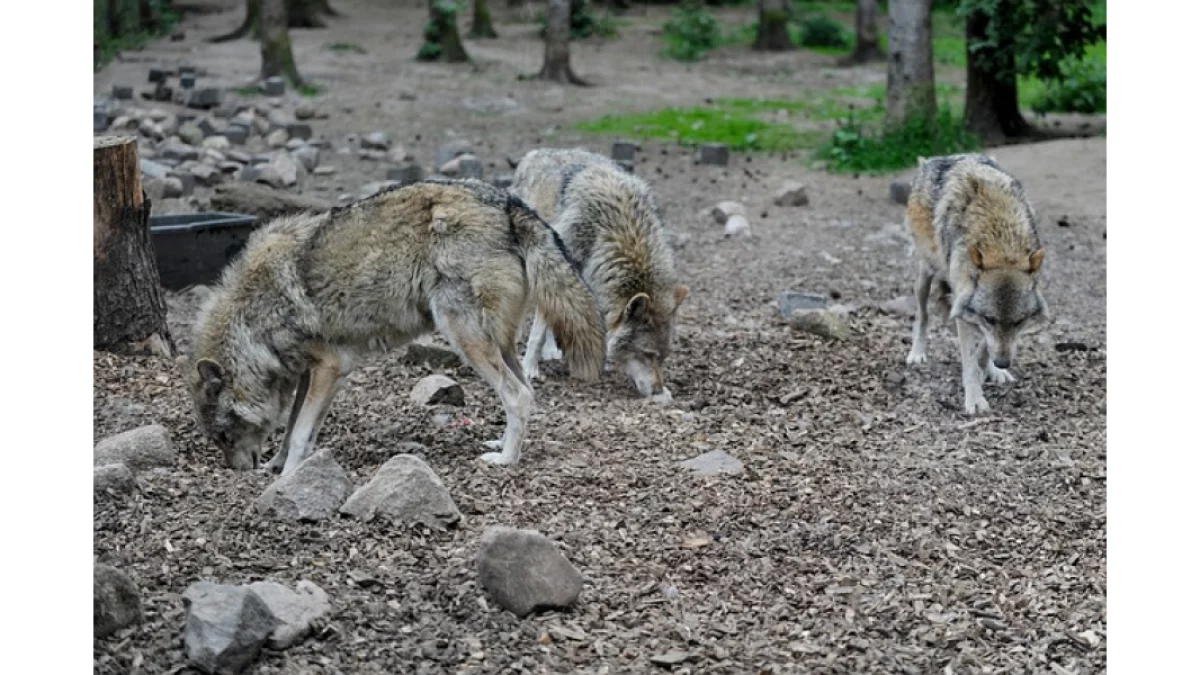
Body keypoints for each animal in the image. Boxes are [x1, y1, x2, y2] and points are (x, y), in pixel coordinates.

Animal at [181, 178, 604, 473]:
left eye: (223, 435)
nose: (238, 472)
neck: (254, 319)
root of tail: (510, 204)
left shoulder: (331, 367)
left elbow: (300, 434)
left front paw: (287, 477)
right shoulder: (311, 373)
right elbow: (292, 430)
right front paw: (278, 466)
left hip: (464, 338)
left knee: (519, 396)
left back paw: (506, 461)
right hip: (496, 343)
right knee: (527, 390)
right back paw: (500, 446)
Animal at [511, 147, 691, 398]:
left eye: (663, 357)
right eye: (647, 354)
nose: (658, 390)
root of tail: (536, 152)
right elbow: (537, 333)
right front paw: (529, 369)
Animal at [902, 154, 1051, 413]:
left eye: (1019, 322)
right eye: (990, 318)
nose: (1003, 363)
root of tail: (931, 160)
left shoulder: (971, 311)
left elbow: (984, 347)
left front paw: (989, 368)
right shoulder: (967, 311)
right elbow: (971, 361)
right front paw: (974, 399)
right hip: (925, 275)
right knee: (922, 315)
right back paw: (917, 353)